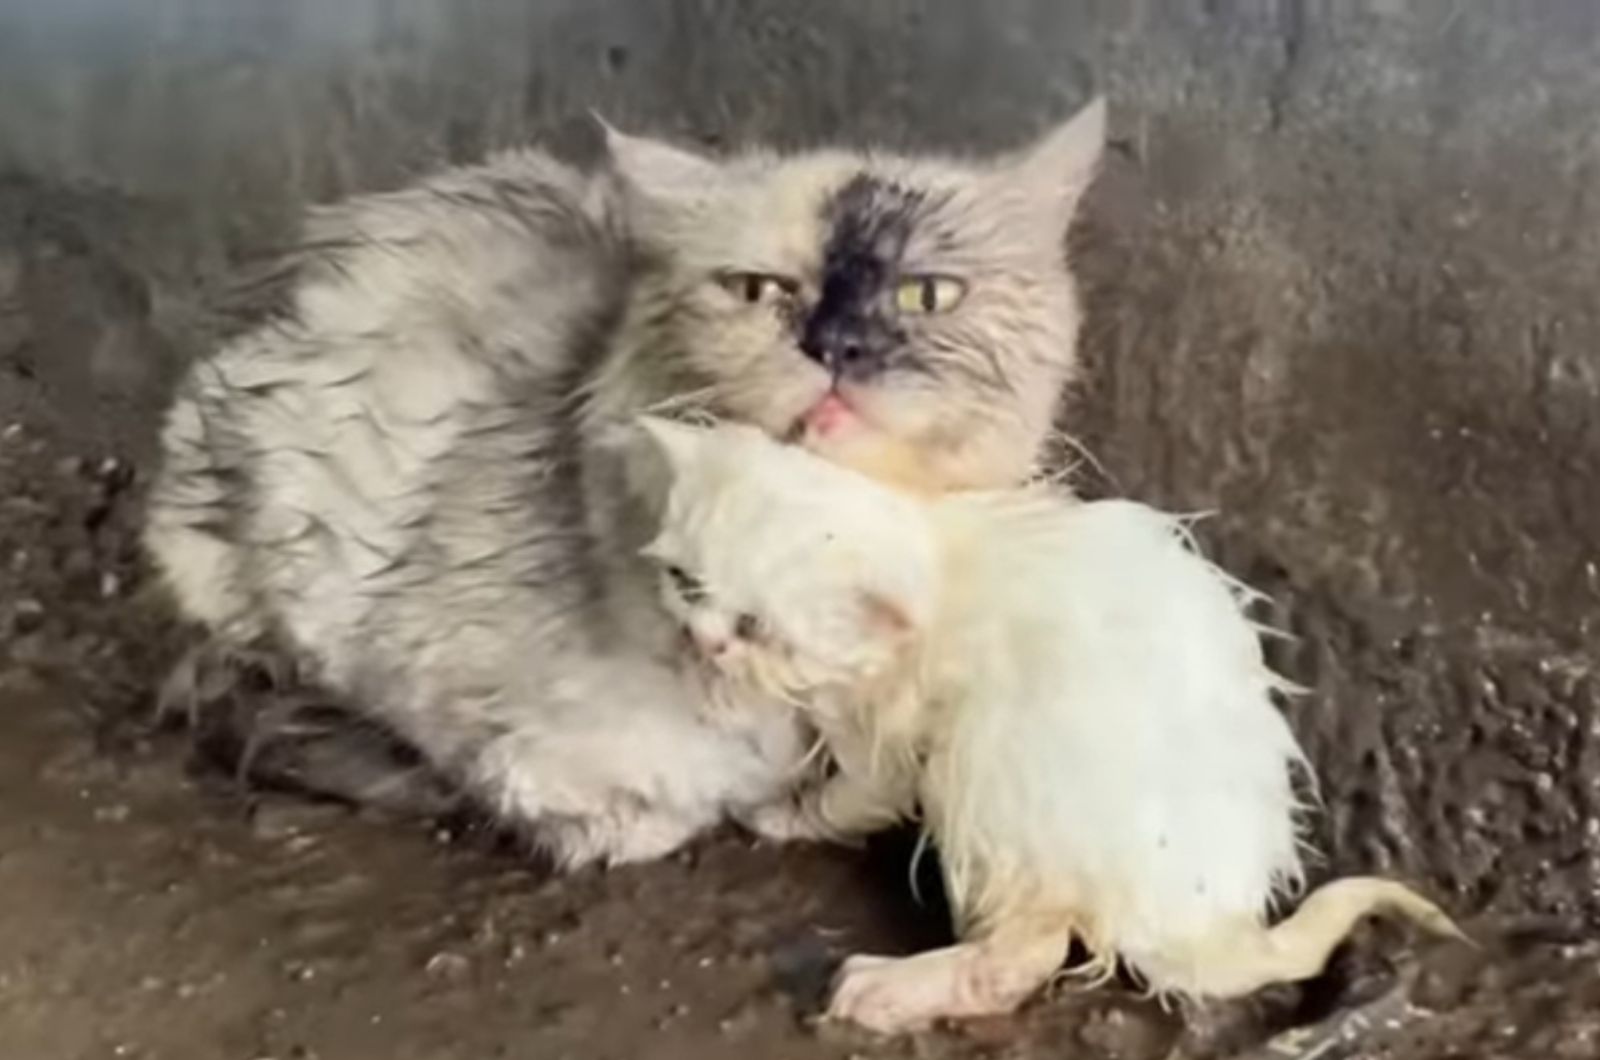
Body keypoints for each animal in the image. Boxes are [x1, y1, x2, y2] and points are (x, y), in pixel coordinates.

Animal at [633, 416, 1465, 1037]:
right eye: (686, 584)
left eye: (758, 627)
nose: (705, 641)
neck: (930, 544)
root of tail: (1202, 919)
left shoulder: (892, 734)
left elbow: (853, 793)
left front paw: (784, 812)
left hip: (987, 764)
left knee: (1024, 957)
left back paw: (889, 990)